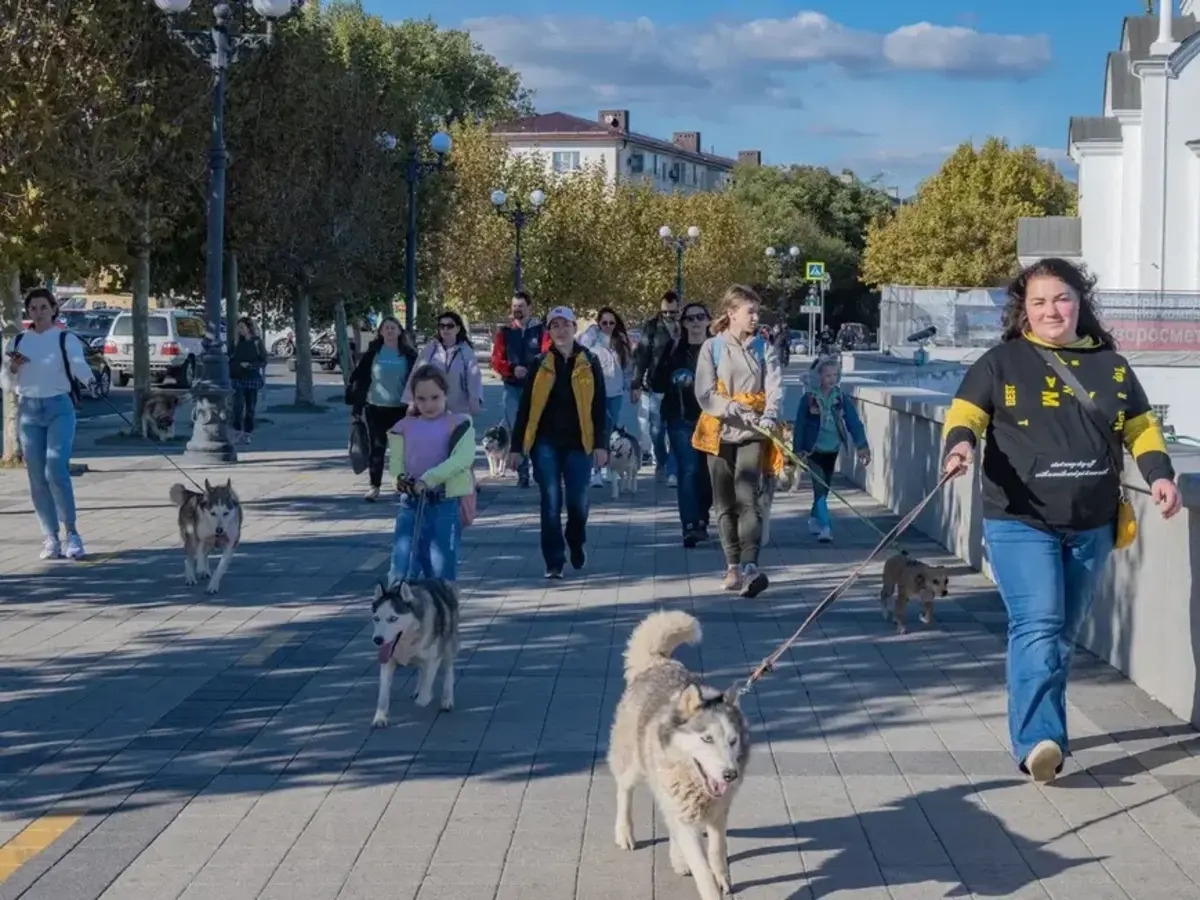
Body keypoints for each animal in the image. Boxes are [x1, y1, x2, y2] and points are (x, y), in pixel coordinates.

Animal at [369, 580, 458, 729]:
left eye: (393, 618)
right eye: (376, 618)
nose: (377, 640)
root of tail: (434, 579)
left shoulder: (433, 658)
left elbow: (425, 690)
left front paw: (424, 698)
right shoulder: (388, 663)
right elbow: (383, 694)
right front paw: (380, 717)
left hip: (448, 645)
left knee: (448, 671)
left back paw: (447, 699)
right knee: (421, 669)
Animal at [609, 614, 748, 900]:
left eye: (733, 741)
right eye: (707, 739)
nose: (730, 775)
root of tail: (659, 661)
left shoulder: (718, 813)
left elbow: (716, 851)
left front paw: (722, 879)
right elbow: (703, 871)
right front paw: (711, 889)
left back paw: (678, 858)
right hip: (635, 767)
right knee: (624, 791)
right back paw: (624, 833)